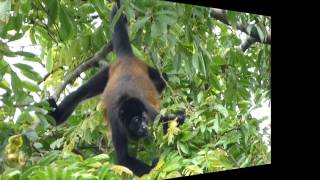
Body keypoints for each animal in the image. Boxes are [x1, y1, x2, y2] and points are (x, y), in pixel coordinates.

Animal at [49, 0, 186, 176]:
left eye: (143, 117)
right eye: (136, 121)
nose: (144, 126)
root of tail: (125, 57)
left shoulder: (150, 111)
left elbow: (167, 121)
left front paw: (179, 118)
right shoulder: (116, 123)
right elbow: (124, 159)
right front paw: (155, 167)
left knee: (164, 79)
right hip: (108, 72)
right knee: (79, 94)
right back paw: (55, 116)